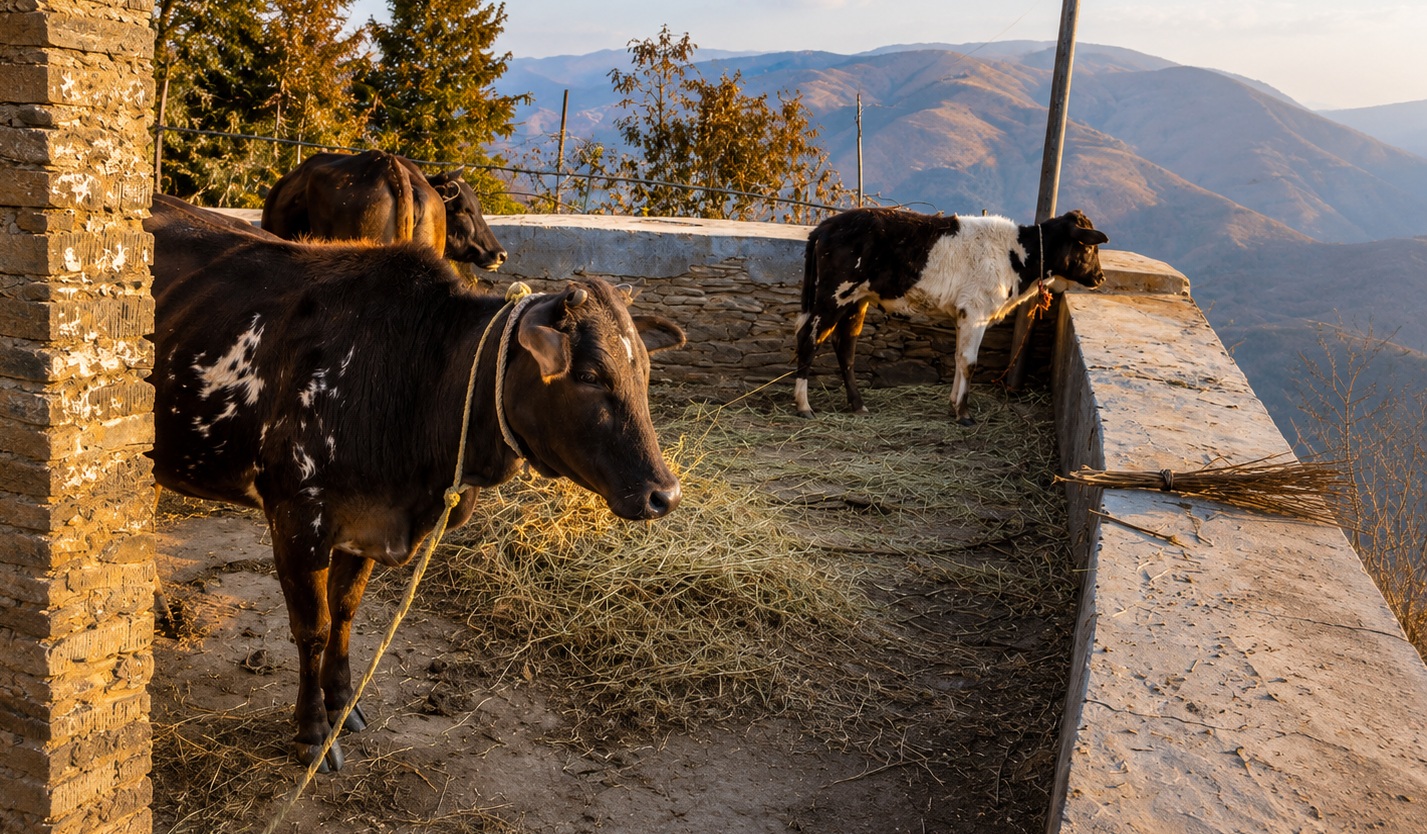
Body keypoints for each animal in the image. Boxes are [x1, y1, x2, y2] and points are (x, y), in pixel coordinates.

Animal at [145, 196, 684, 772]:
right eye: (588, 375)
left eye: (644, 371)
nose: (664, 494)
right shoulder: (297, 518)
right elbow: (312, 628)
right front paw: (312, 732)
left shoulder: (363, 523)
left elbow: (345, 612)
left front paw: (344, 705)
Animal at [793, 207, 1109, 424]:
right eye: (1089, 247)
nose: (1101, 277)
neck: (1017, 256)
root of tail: (826, 226)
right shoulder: (976, 312)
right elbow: (969, 363)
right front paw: (964, 413)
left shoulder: (964, 314)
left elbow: (958, 359)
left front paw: (953, 403)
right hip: (833, 295)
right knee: (808, 339)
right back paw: (804, 406)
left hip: (856, 300)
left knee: (845, 346)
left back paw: (857, 404)